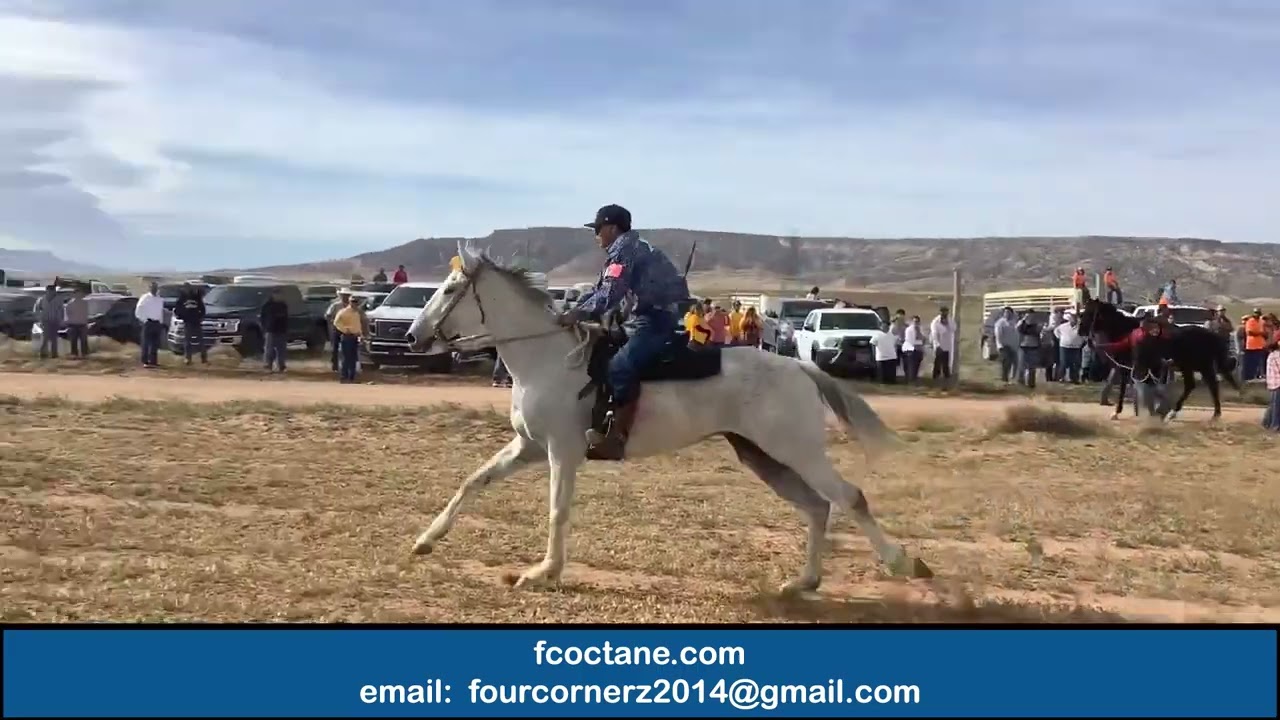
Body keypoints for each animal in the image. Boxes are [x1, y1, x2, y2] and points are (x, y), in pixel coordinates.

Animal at [403, 243, 932, 592]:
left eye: (450, 289)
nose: (412, 335)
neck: (548, 358)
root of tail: (799, 366)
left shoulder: (561, 452)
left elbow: (557, 509)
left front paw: (542, 572)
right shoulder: (529, 447)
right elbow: (473, 481)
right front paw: (425, 541)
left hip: (796, 451)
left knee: (849, 497)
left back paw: (903, 564)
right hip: (764, 457)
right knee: (818, 507)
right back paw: (804, 581)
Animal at [1077, 299, 1239, 422]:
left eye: (1091, 313)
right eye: (1083, 312)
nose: (1080, 331)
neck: (1128, 332)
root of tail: (1211, 335)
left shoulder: (1132, 367)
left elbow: (1130, 388)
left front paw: (1120, 412)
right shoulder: (1130, 367)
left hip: (1199, 365)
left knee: (1209, 385)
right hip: (1191, 366)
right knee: (1197, 386)